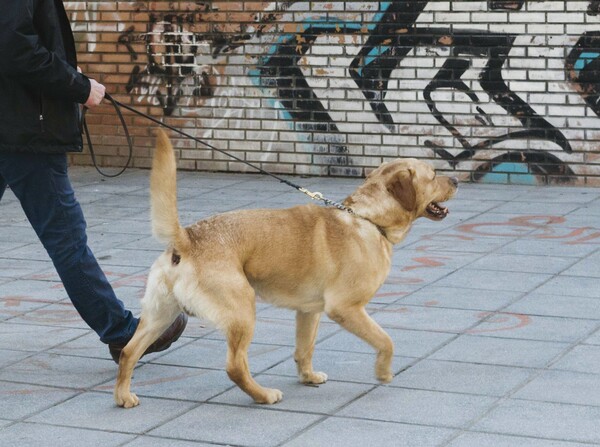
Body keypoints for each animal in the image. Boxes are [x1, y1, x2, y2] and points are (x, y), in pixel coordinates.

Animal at [115, 130, 458, 410]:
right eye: (433, 175)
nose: (455, 180)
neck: (368, 219)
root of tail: (187, 238)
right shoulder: (346, 308)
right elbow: (386, 340)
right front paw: (383, 372)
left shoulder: (308, 311)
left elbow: (304, 349)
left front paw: (308, 377)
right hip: (242, 309)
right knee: (235, 366)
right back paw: (263, 395)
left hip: (160, 315)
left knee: (129, 351)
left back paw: (123, 396)